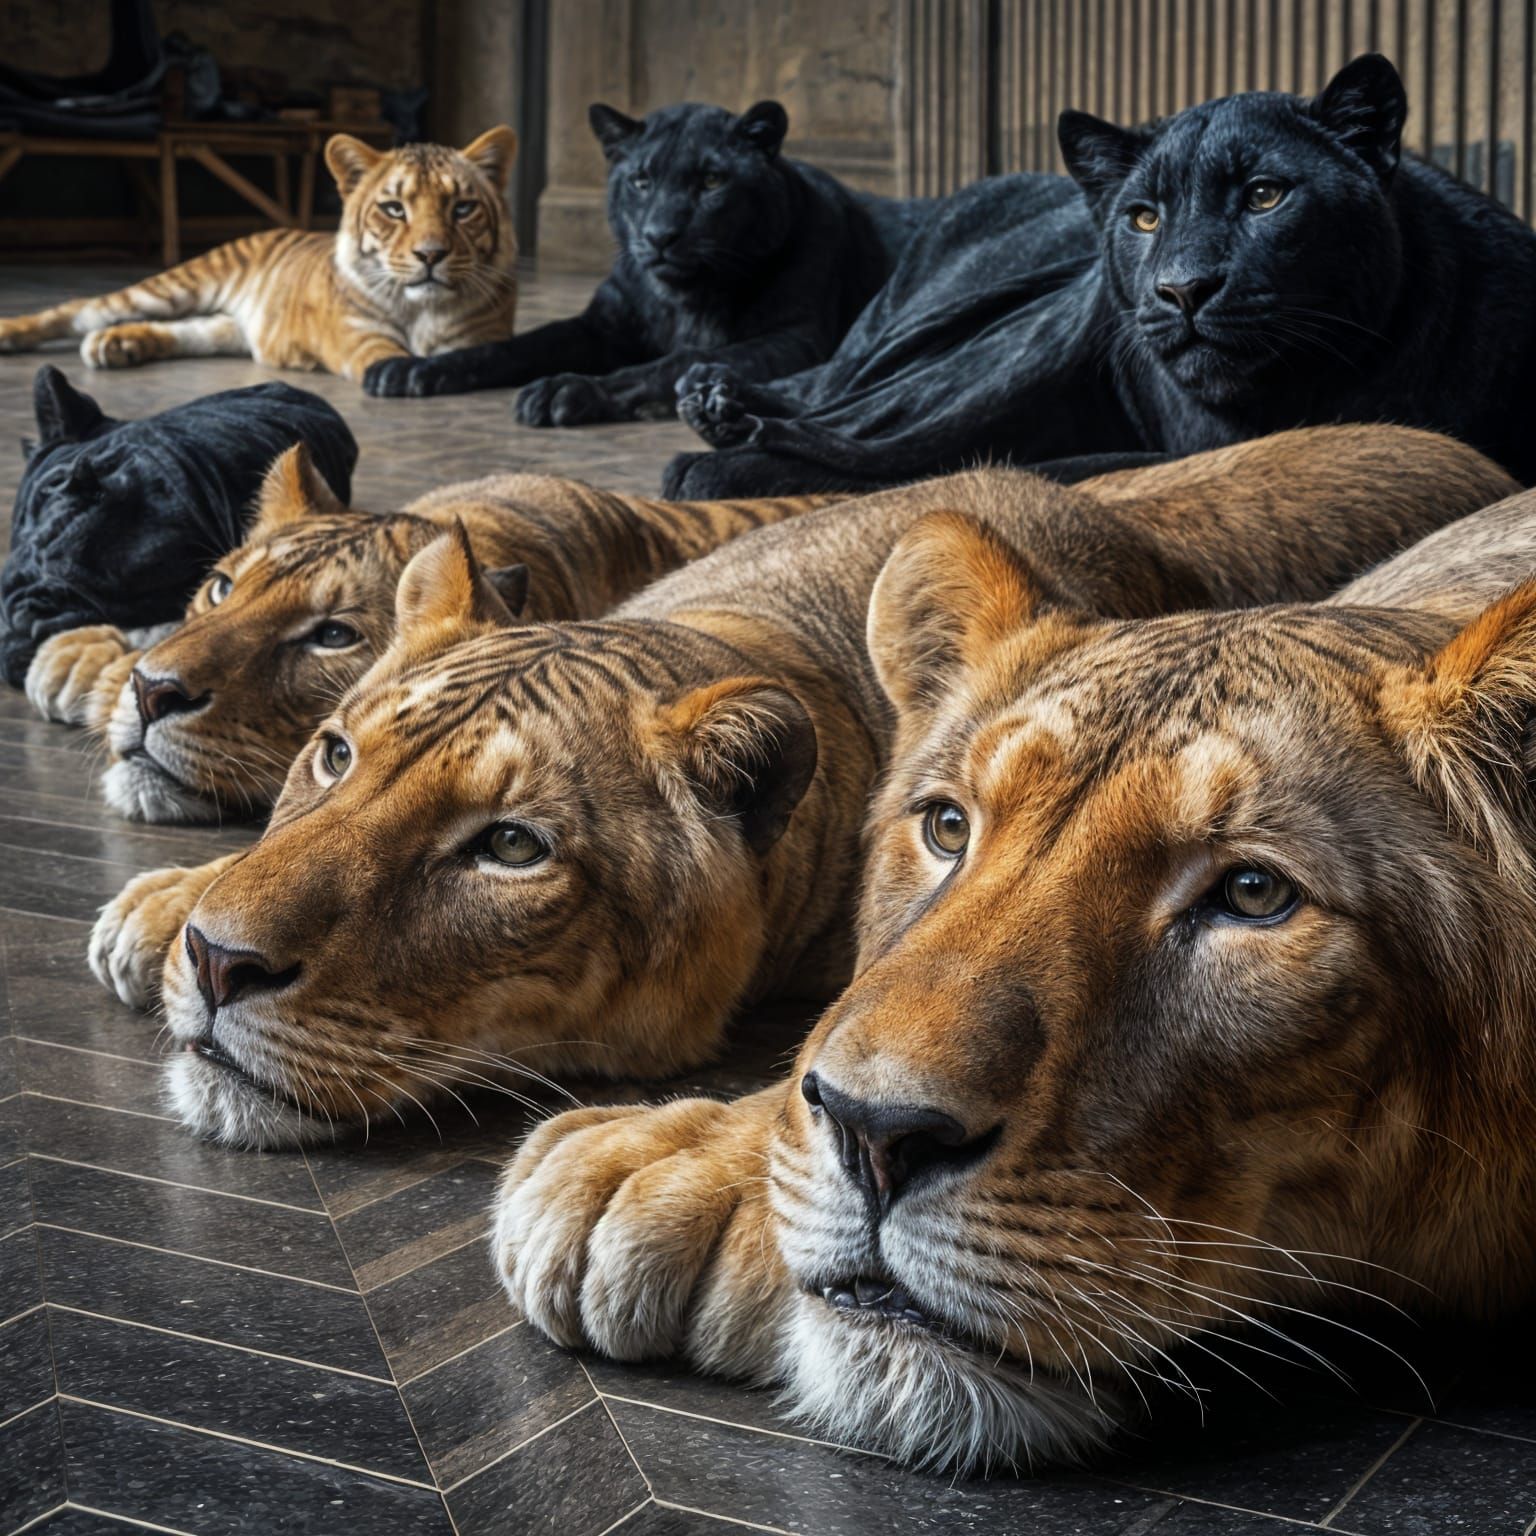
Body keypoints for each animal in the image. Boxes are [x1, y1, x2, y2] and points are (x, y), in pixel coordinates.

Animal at [0, 130, 519, 381]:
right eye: (394, 209)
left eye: (463, 208)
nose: (430, 254)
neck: (421, 308)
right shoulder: (362, 340)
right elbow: (396, 358)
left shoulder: (477, 338)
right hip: (173, 287)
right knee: (79, 309)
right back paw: (17, 333)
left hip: (225, 329)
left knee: (185, 332)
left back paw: (116, 346)